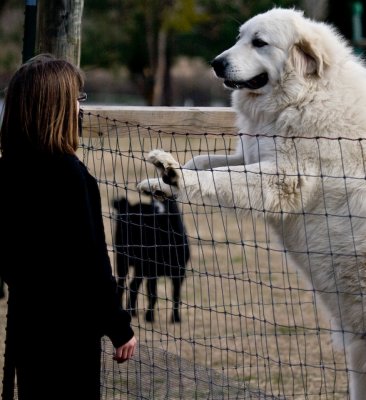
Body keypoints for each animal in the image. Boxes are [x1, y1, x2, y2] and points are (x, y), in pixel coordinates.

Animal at [113, 195, 190, 324]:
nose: (157, 208)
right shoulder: (152, 271)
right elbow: (153, 295)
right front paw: (149, 317)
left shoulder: (179, 272)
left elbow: (176, 295)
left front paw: (175, 318)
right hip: (123, 257)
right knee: (121, 284)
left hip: (140, 267)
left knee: (133, 285)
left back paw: (132, 311)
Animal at [137, 7, 366, 396]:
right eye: (239, 37)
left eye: (260, 43)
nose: (216, 63)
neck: (306, 94)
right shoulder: (252, 153)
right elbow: (205, 162)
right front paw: (162, 182)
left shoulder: (280, 178)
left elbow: (218, 178)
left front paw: (174, 175)